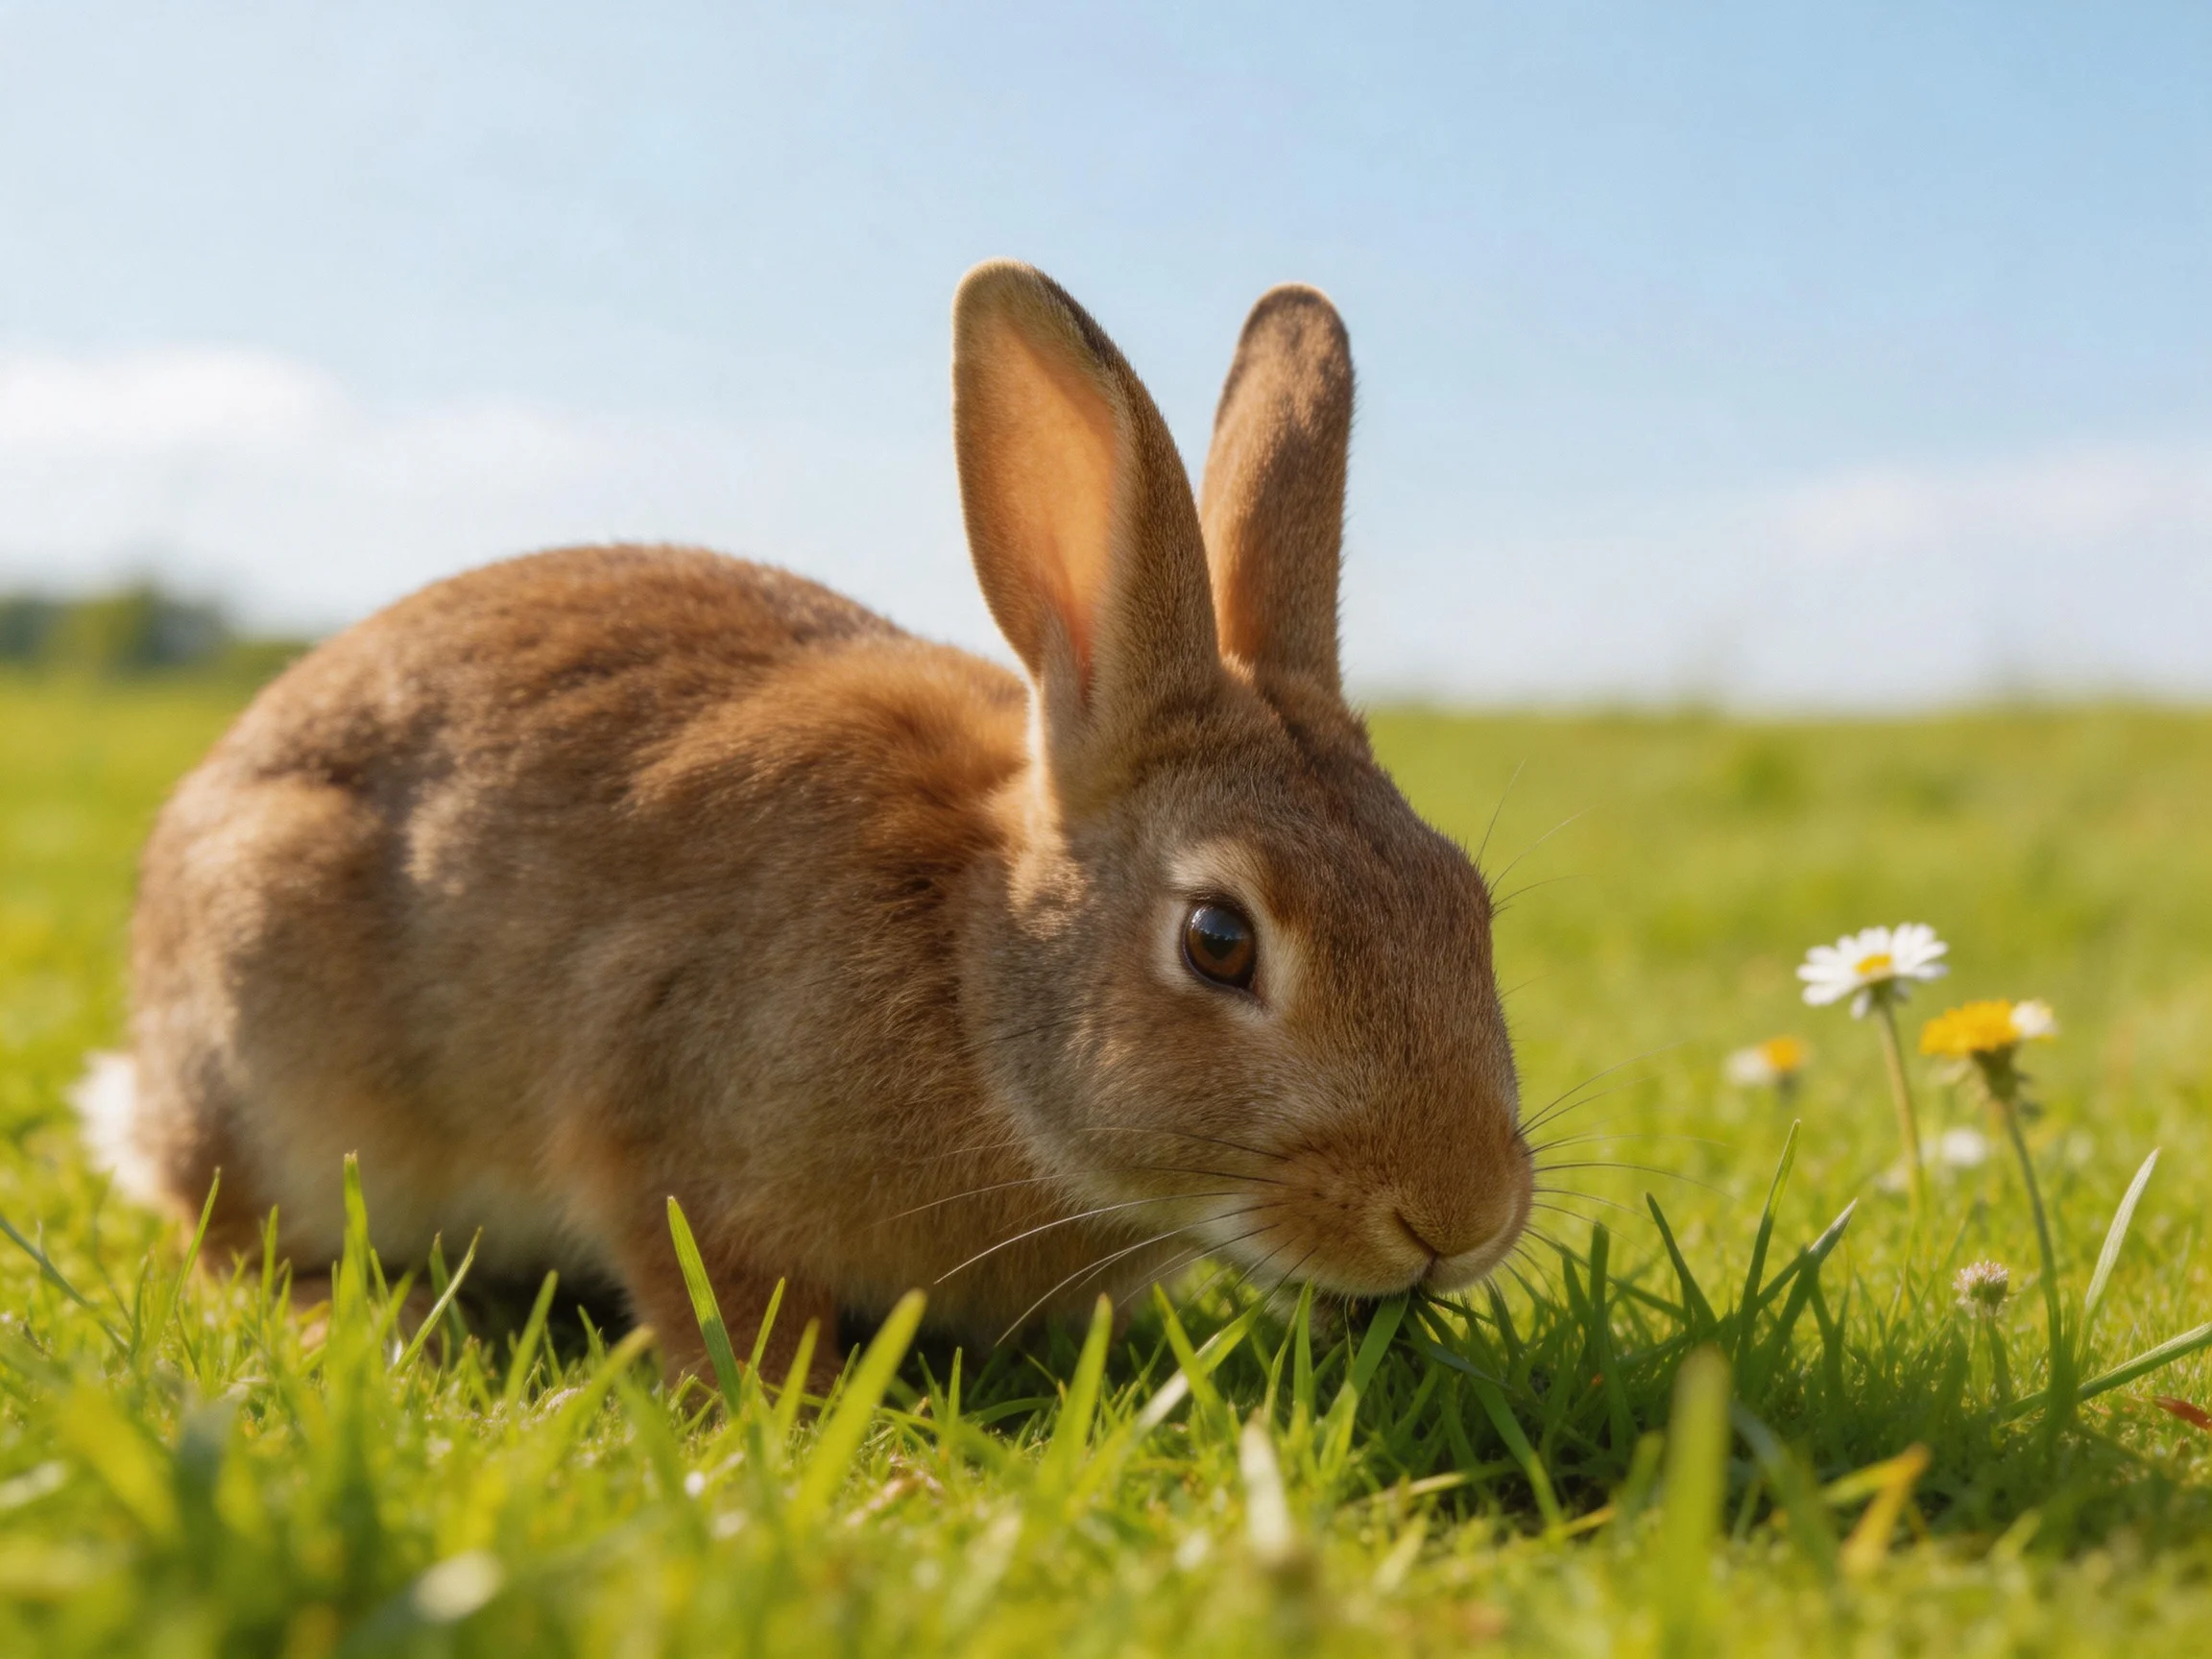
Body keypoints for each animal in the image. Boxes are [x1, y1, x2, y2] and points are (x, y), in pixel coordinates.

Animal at [97, 261, 1532, 1380]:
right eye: (1219, 942)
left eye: (1466, 903)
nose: (1459, 1220)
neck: (971, 977)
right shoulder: (663, 1128)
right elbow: (716, 1299)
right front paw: (802, 1409)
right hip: (266, 1048)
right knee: (218, 1229)